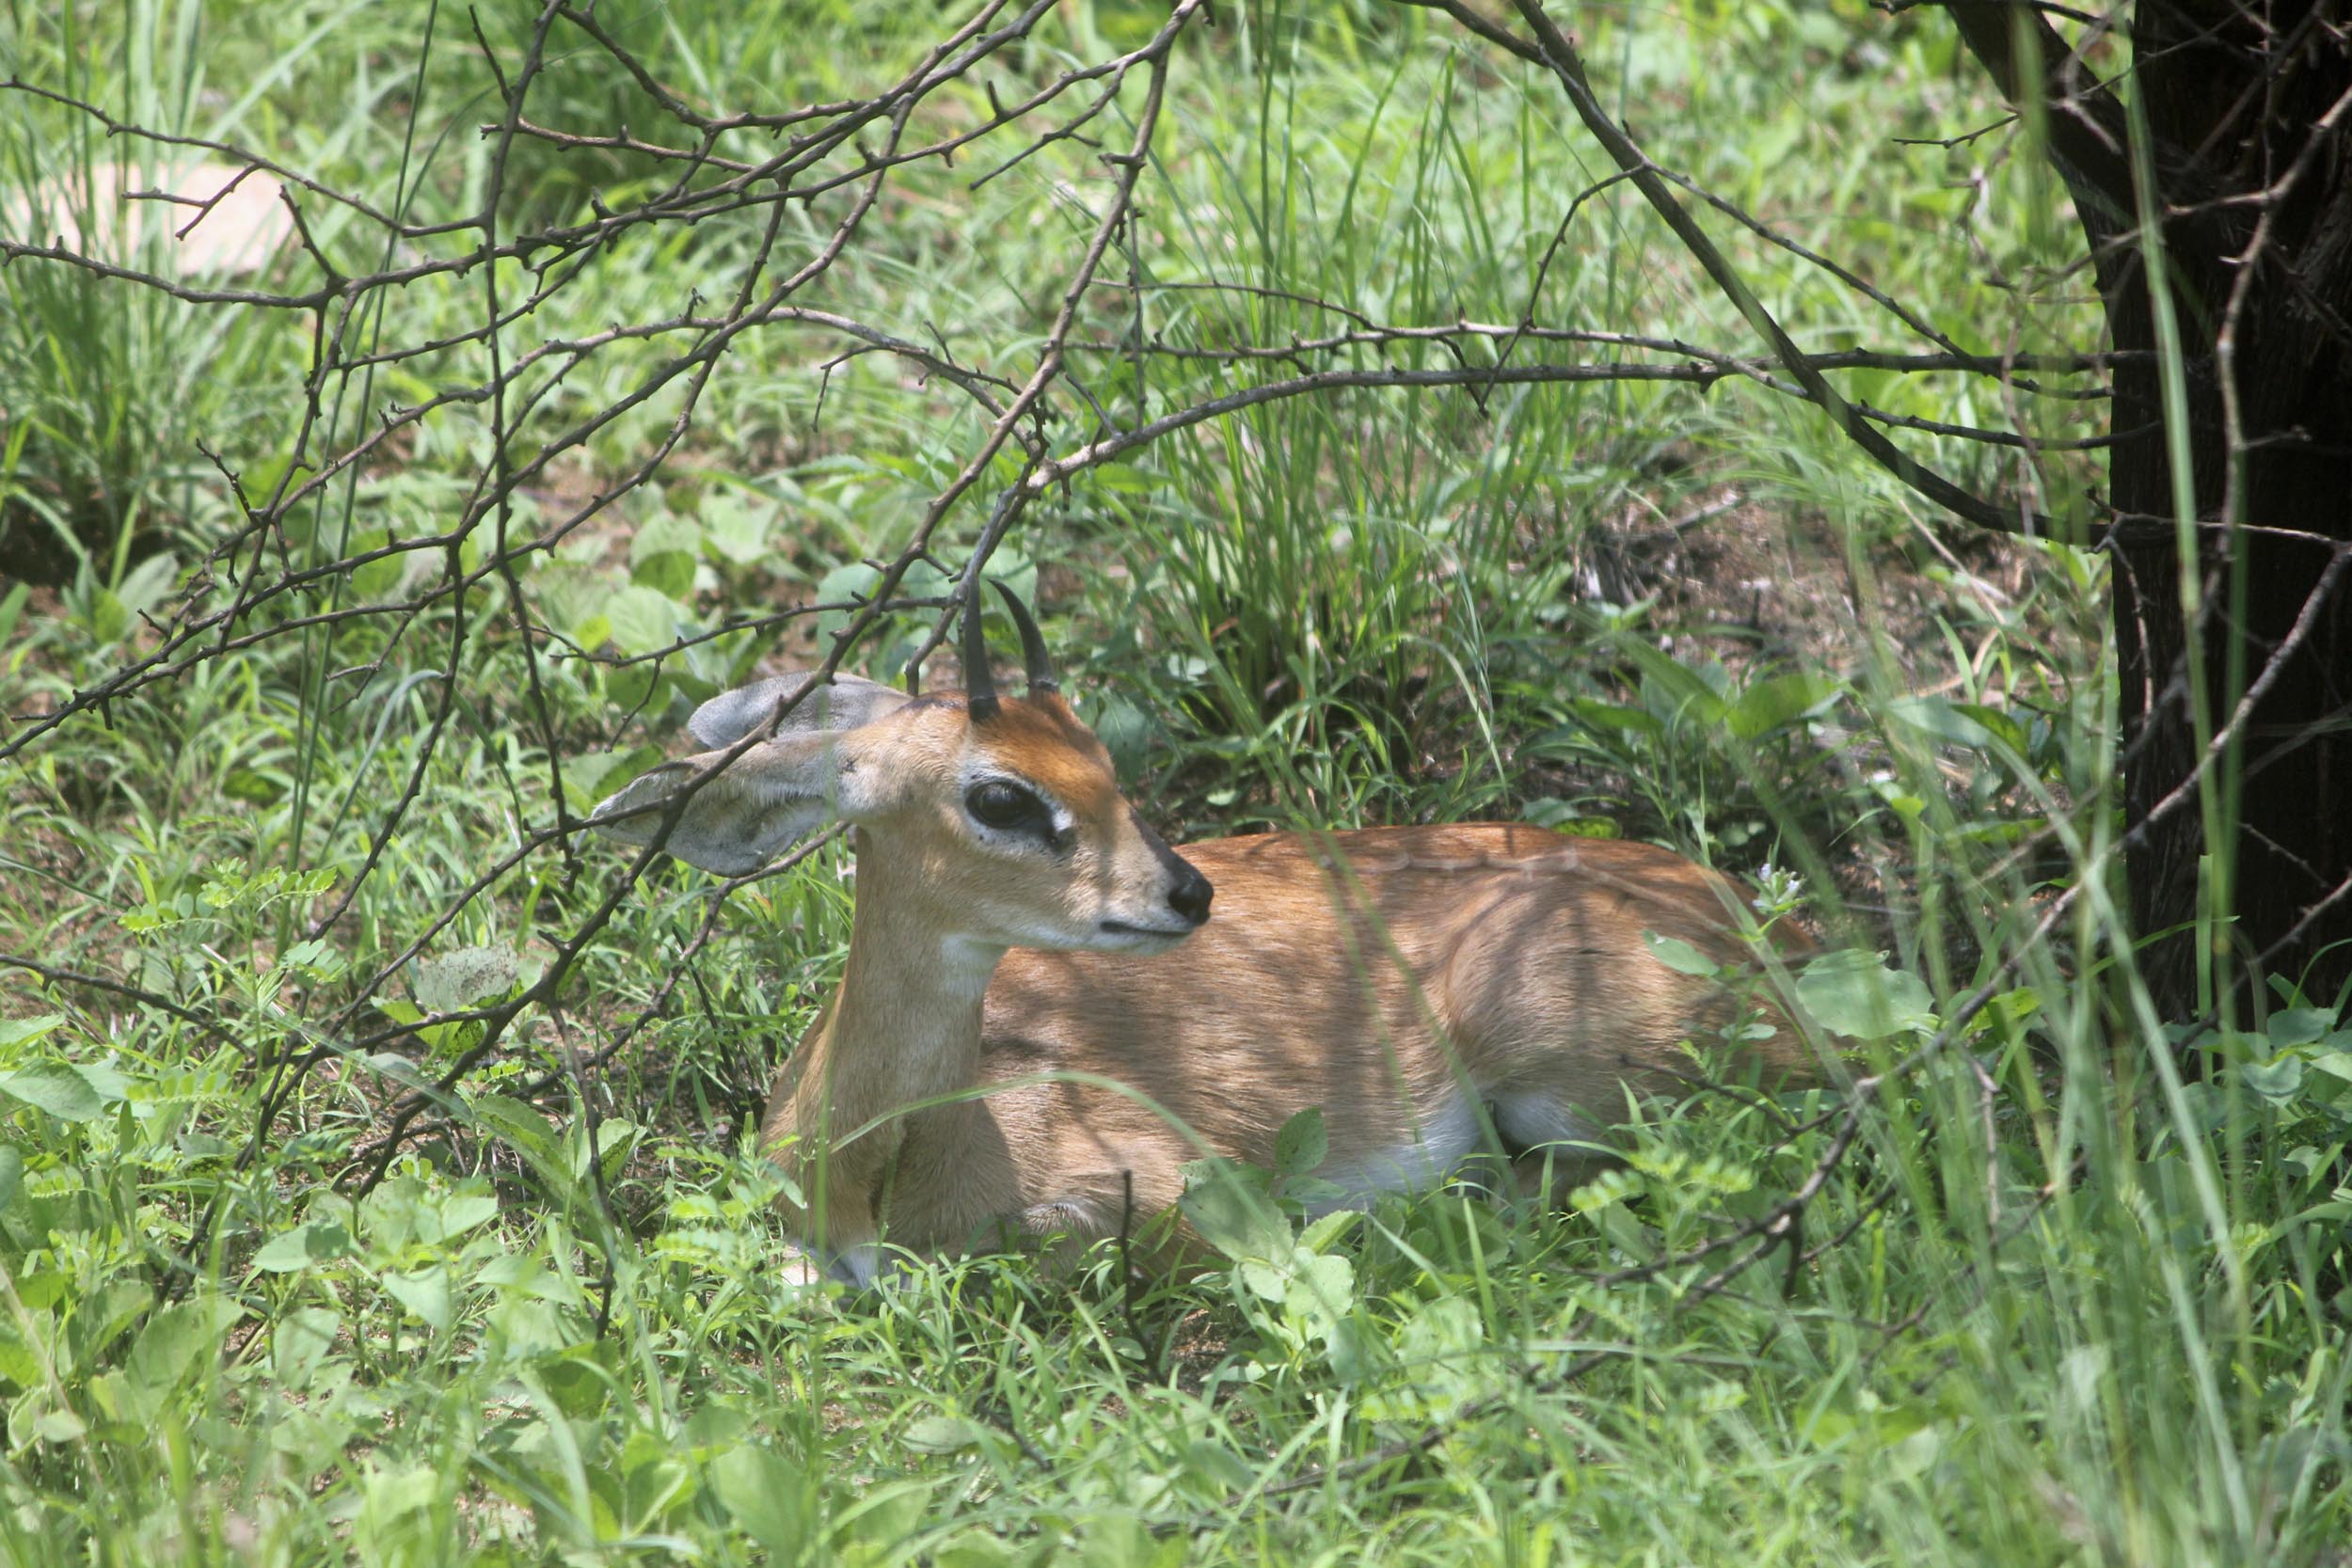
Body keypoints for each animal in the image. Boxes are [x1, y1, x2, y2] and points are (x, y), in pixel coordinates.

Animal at [593, 587, 1816, 1288]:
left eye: (1101, 753)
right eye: (999, 794)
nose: (1184, 890)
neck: (876, 1165)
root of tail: (1770, 927)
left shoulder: (1171, 1192)